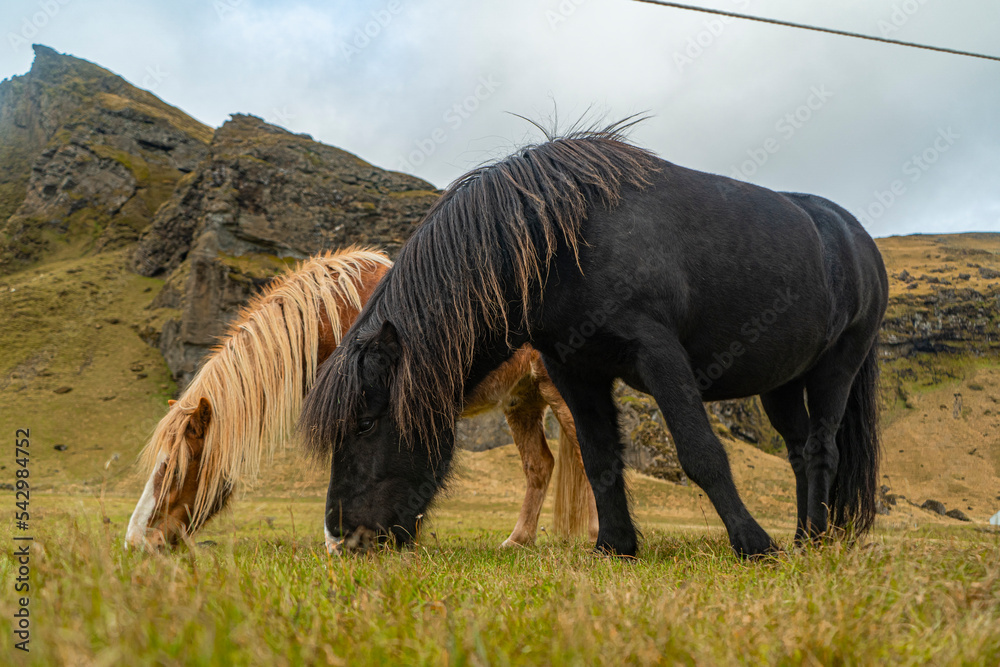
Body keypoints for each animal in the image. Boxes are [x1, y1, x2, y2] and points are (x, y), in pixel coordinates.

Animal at [125, 248, 597, 550]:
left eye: (173, 469)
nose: (135, 541)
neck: (336, 317)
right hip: (522, 400)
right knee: (540, 466)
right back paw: (517, 540)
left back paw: (595, 536)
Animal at [300, 121, 888, 559]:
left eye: (366, 422)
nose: (339, 539)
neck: (566, 239)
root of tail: (854, 235)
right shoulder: (574, 369)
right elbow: (600, 455)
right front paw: (615, 546)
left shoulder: (658, 355)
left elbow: (701, 452)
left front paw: (753, 544)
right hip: (782, 383)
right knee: (798, 450)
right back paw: (806, 536)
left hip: (837, 368)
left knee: (822, 448)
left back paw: (808, 542)